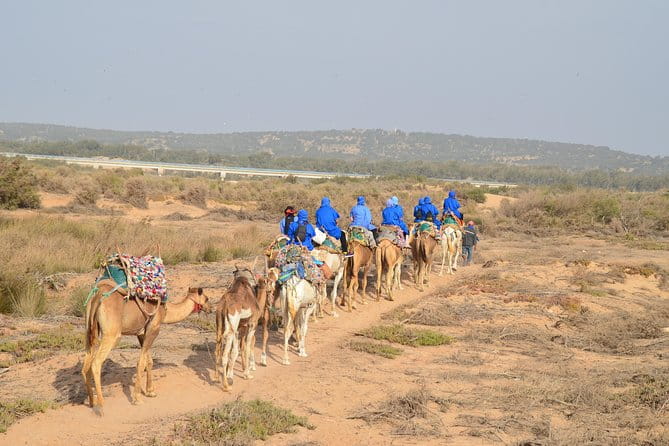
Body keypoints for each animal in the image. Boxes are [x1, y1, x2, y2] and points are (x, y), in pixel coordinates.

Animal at [82, 282, 210, 415]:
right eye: (207, 298)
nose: (210, 309)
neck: (166, 311)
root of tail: (97, 296)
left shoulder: (142, 333)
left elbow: (149, 361)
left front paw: (150, 391)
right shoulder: (154, 328)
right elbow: (141, 363)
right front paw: (137, 399)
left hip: (89, 329)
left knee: (85, 365)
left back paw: (91, 402)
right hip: (111, 333)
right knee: (96, 363)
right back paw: (101, 406)